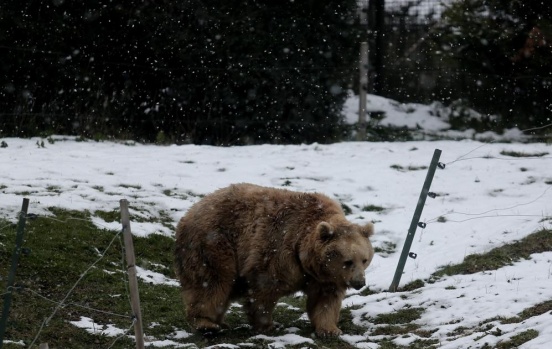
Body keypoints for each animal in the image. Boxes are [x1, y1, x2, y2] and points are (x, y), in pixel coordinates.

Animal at [175, 184, 374, 336]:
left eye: (364, 260)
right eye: (348, 261)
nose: (359, 282)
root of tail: (189, 212)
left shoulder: (325, 277)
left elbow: (325, 300)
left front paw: (330, 330)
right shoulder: (278, 249)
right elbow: (265, 289)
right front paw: (268, 325)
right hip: (214, 244)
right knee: (212, 283)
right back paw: (207, 324)